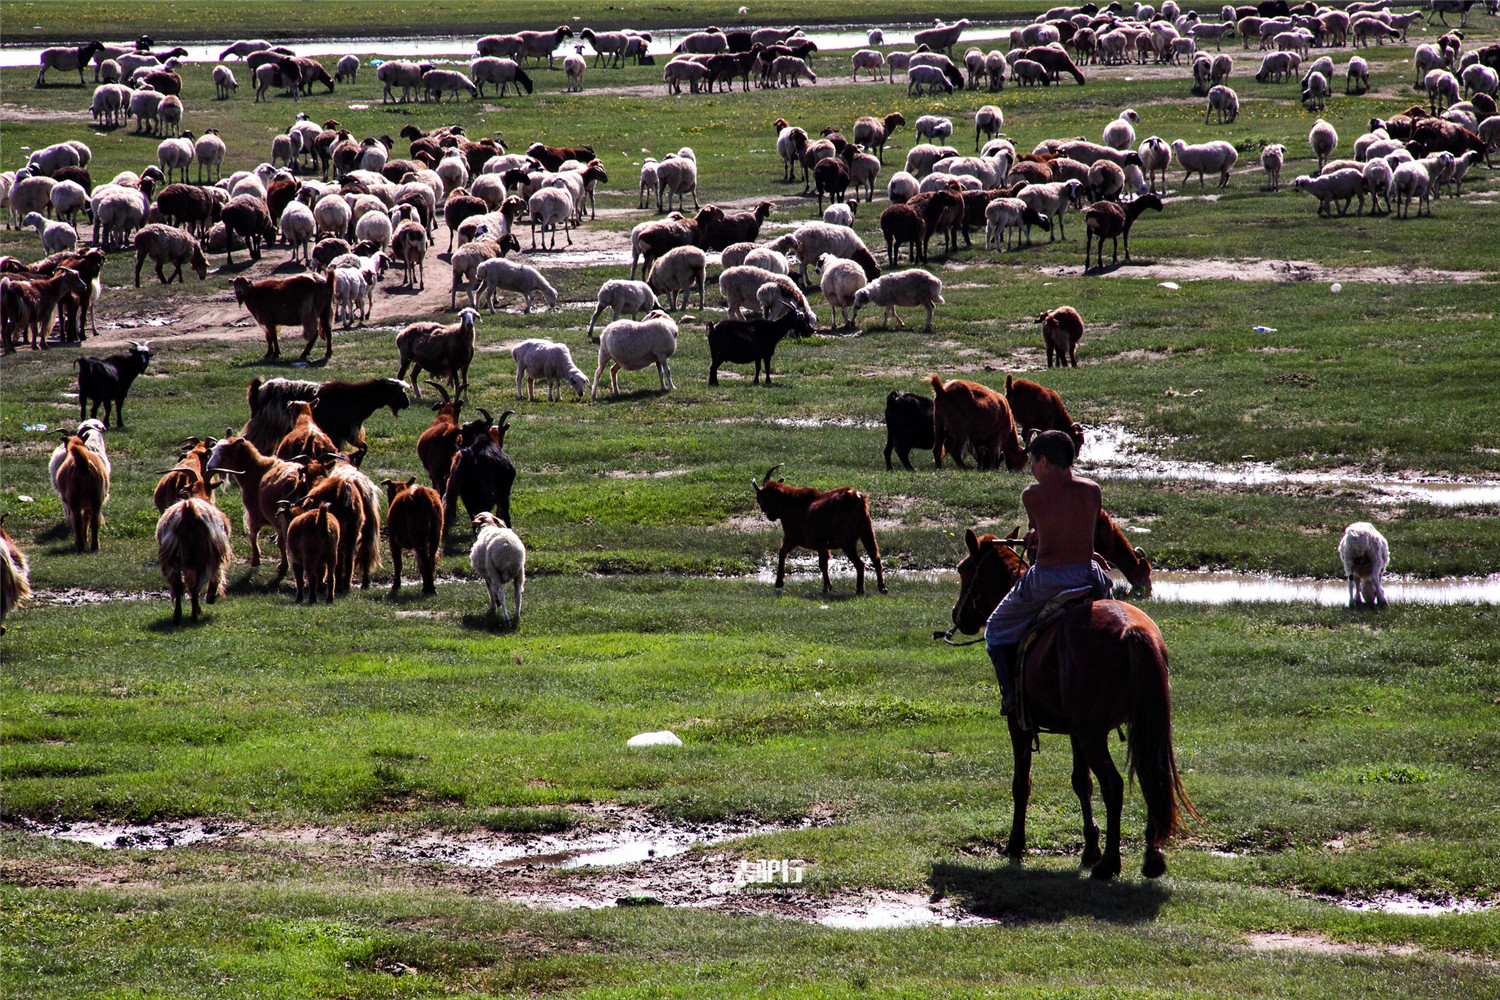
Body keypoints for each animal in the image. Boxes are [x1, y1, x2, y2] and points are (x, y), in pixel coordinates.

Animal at [756, 464, 882, 599]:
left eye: (762, 497)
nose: (768, 514)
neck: (789, 502)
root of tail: (856, 498)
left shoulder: (792, 537)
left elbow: (782, 552)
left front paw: (779, 583)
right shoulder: (822, 544)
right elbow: (823, 564)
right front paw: (827, 587)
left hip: (847, 540)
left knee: (860, 564)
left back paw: (860, 590)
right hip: (867, 531)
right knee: (876, 558)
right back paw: (882, 588)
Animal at [948, 527, 1194, 881]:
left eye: (963, 570)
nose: (958, 615)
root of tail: (1131, 630)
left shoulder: (1020, 723)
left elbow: (1022, 783)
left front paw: (1015, 844)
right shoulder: (1076, 731)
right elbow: (1082, 783)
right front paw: (1089, 848)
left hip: (1094, 734)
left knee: (1114, 784)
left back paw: (1110, 863)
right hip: (1144, 726)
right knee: (1153, 775)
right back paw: (1151, 858)